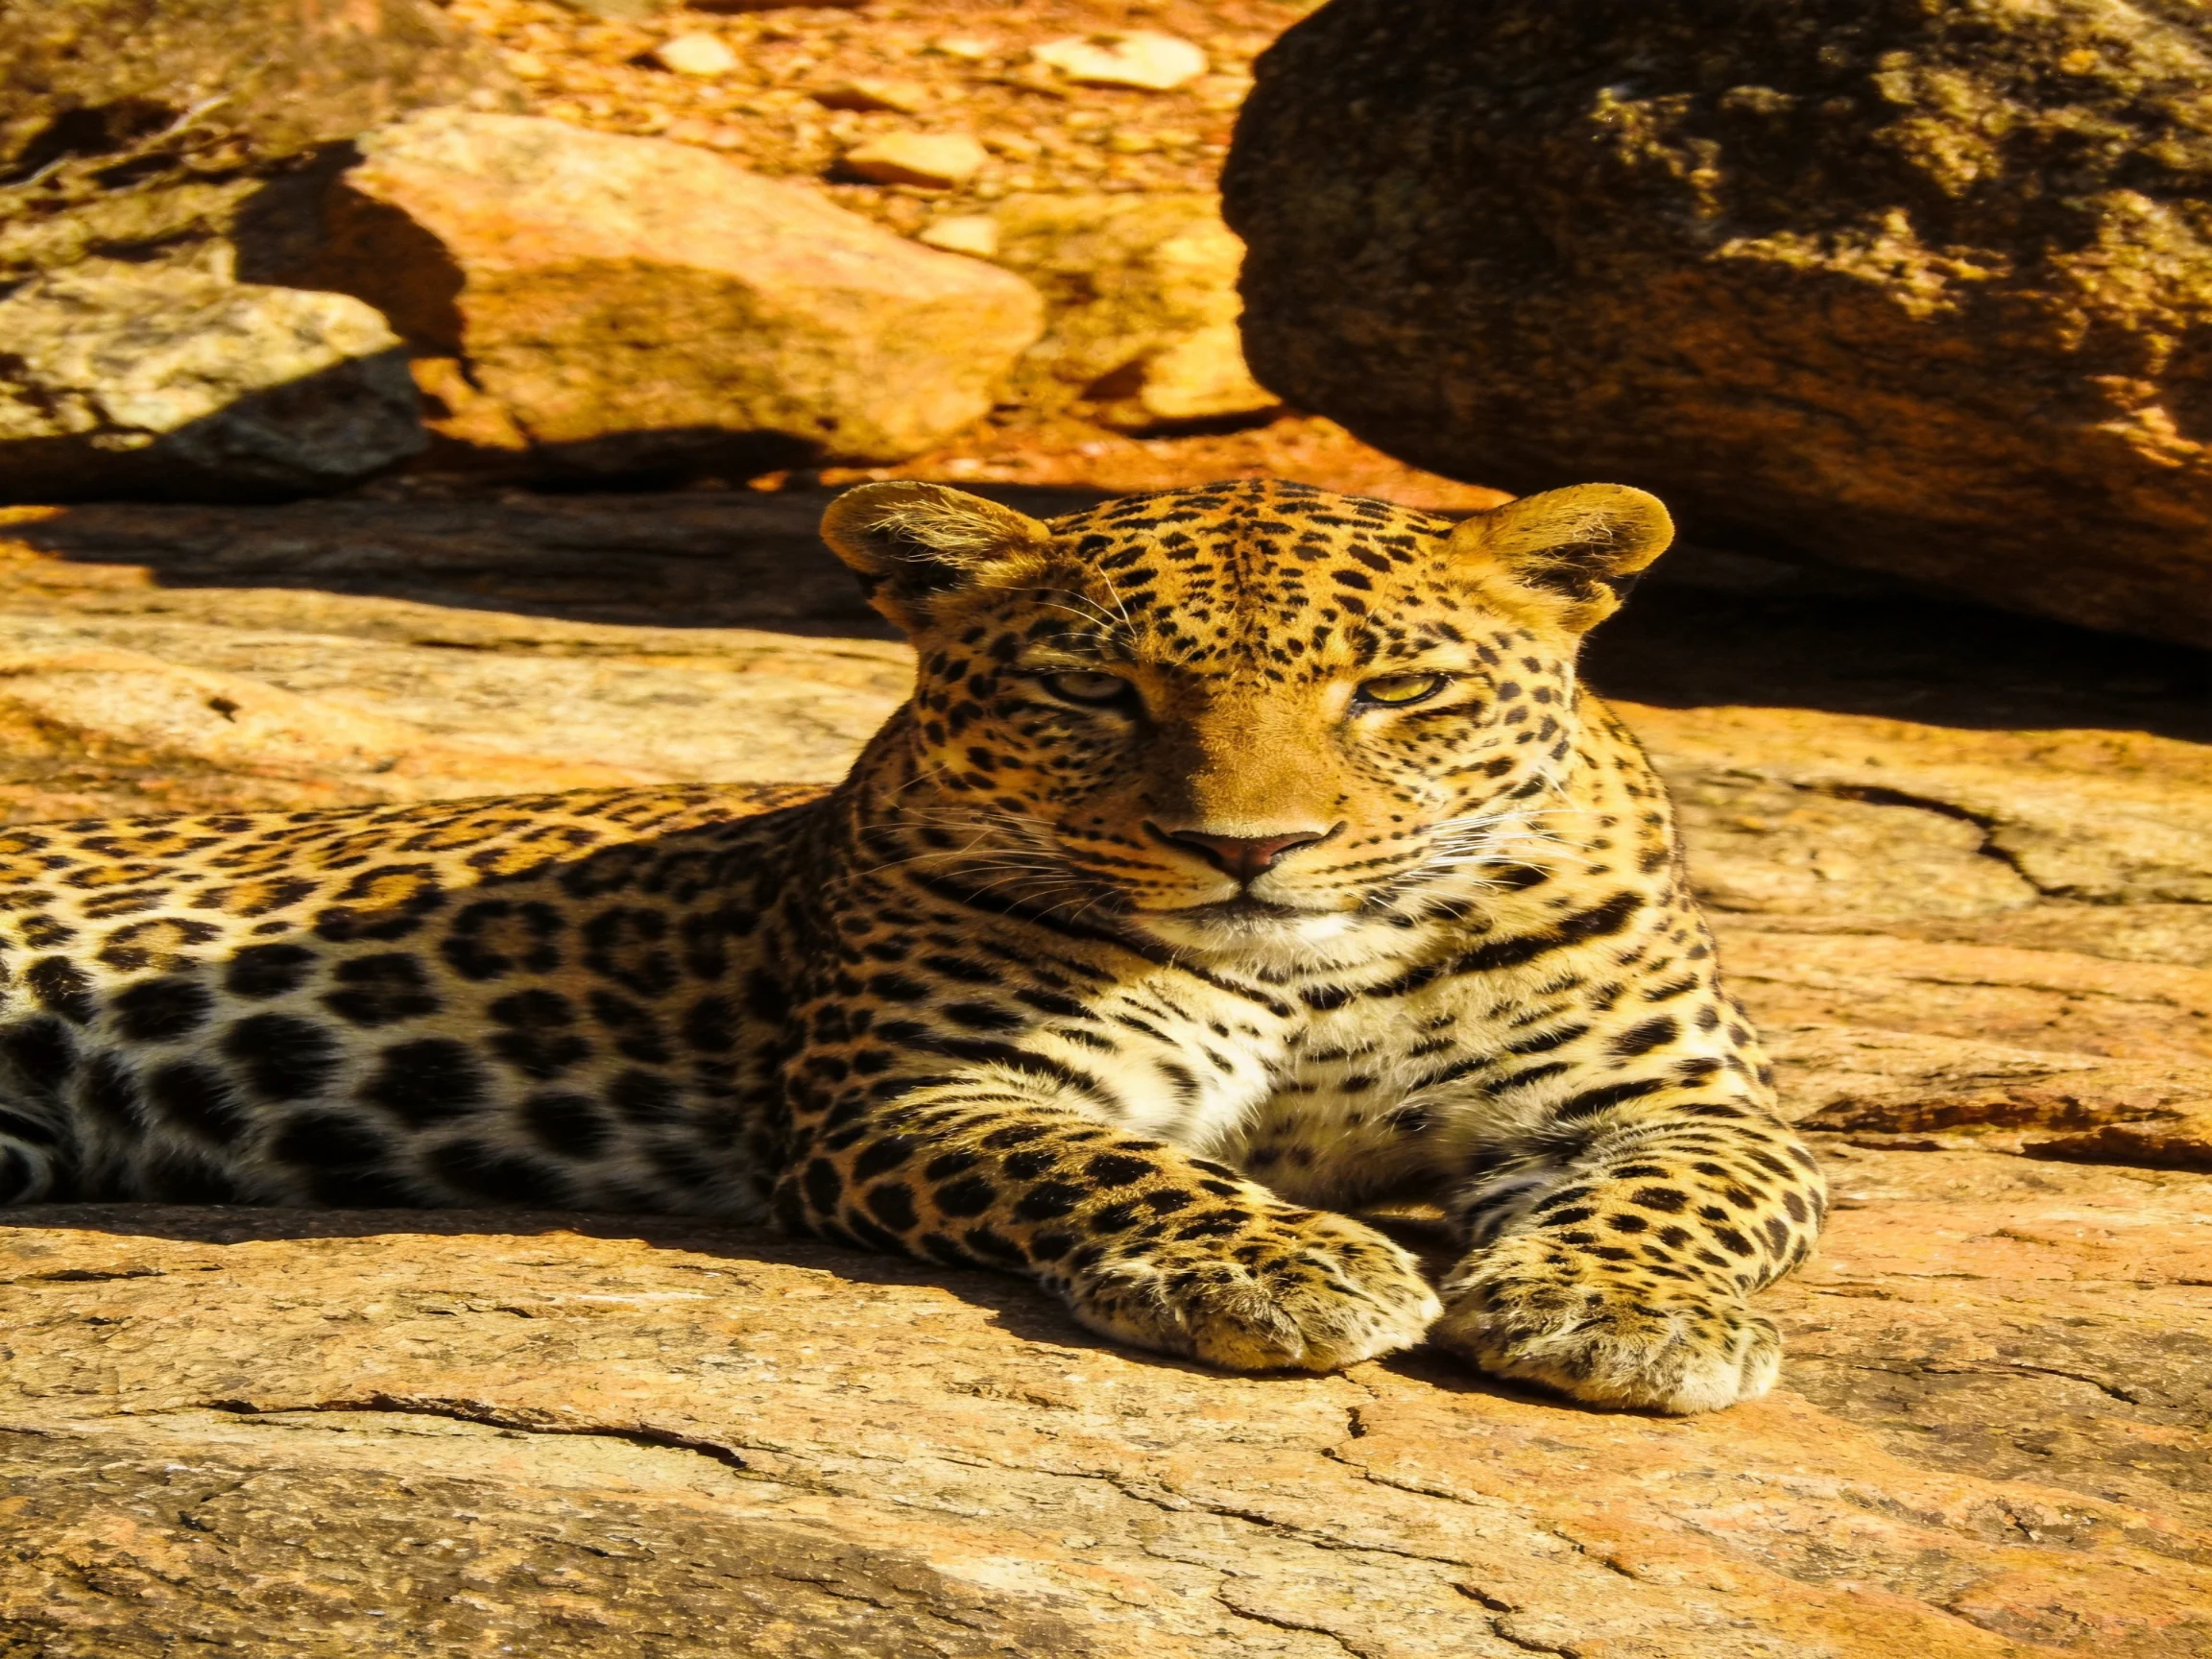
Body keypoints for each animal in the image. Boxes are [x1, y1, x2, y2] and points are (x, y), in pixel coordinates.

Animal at [0, 477, 1825, 1413]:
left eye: (1393, 689)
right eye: (1092, 687)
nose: (1249, 850)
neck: (1306, 970)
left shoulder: (1687, 1106)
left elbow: (1676, 1194)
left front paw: (1612, 1310)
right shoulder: (922, 1094)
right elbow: (1114, 1164)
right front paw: (1282, 1267)